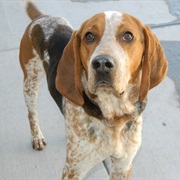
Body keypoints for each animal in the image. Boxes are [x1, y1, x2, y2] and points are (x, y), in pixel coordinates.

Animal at [19, 1, 167, 179]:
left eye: (128, 36)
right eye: (89, 36)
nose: (102, 63)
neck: (113, 112)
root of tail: (42, 17)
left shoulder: (123, 166)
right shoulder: (73, 169)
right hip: (30, 82)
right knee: (31, 113)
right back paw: (37, 137)